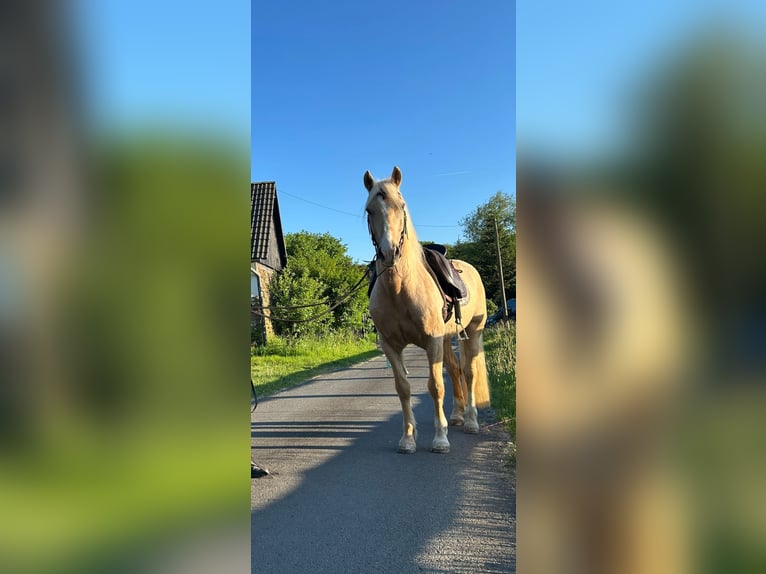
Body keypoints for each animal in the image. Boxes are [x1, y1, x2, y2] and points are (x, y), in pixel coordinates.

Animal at [364, 165, 490, 454]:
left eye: (401, 205)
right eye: (369, 210)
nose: (389, 253)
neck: (401, 288)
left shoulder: (432, 342)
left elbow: (435, 386)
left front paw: (440, 438)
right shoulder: (391, 345)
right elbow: (403, 387)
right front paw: (408, 438)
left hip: (473, 332)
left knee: (469, 372)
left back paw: (470, 421)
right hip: (446, 339)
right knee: (455, 370)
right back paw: (457, 416)